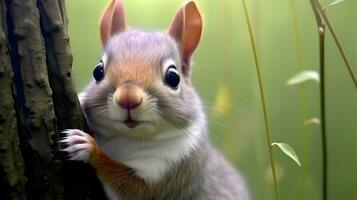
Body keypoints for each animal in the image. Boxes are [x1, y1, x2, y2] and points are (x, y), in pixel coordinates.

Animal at [60, 0, 250, 199]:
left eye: (173, 77)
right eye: (98, 71)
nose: (128, 98)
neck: (128, 138)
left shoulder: (173, 173)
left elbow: (130, 185)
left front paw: (88, 147)